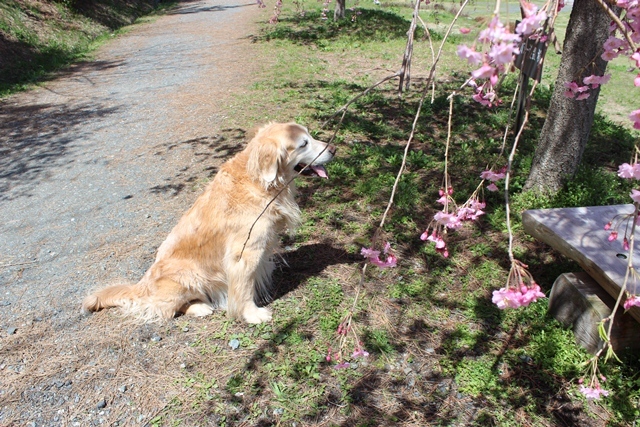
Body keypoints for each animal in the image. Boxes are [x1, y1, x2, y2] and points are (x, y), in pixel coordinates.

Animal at [81, 123, 336, 324]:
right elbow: (244, 289)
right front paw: (252, 314)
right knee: (165, 310)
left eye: (310, 136)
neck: (259, 182)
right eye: (304, 144)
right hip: (188, 276)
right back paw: (199, 307)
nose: (334, 148)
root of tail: (142, 285)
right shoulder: (244, 253)